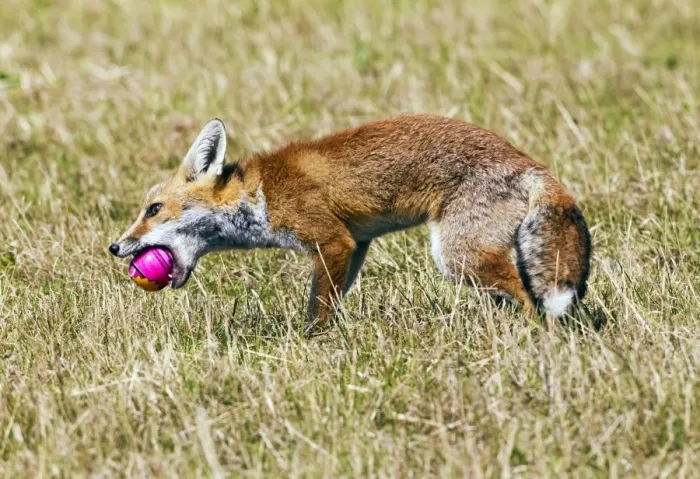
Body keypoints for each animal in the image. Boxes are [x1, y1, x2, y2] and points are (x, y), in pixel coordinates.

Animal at [109, 114, 591, 327]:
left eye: (153, 210)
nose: (115, 246)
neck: (258, 195)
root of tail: (524, 159)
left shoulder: (331, 241)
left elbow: (317, 310)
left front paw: (312, 345)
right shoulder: (354, 244)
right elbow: (333, 299)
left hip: (458, 255)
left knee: (527, 297)